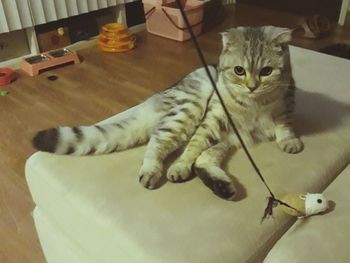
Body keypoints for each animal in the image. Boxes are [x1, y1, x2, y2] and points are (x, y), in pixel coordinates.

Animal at [32, 26, 304, 200]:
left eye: (267, 71)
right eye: (239, 70)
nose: (252, 86)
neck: (255, 103)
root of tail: (154, 101)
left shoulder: (287, 100)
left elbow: (284, 124)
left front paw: (289, 140)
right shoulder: (213, 117)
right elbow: (190, 150)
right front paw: (179, 166)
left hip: (225, 137)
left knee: (203, 161)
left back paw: (222, 187)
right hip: (190, 112)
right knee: (159, 144)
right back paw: (154, 172)